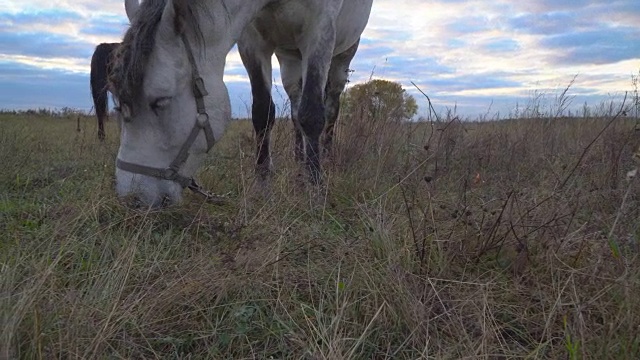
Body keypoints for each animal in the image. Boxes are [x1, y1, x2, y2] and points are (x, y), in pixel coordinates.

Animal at [107, 0, 372, 208]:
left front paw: (316, 192)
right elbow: (263, 114)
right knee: (296, 108)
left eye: (161, 101)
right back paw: (300, 162)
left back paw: (325, 157)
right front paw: (263, 188)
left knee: (330, 108)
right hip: (289, 58)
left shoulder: (319, 30)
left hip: (342, 56)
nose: (132, 197)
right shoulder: (252, 41)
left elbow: (313, 115)